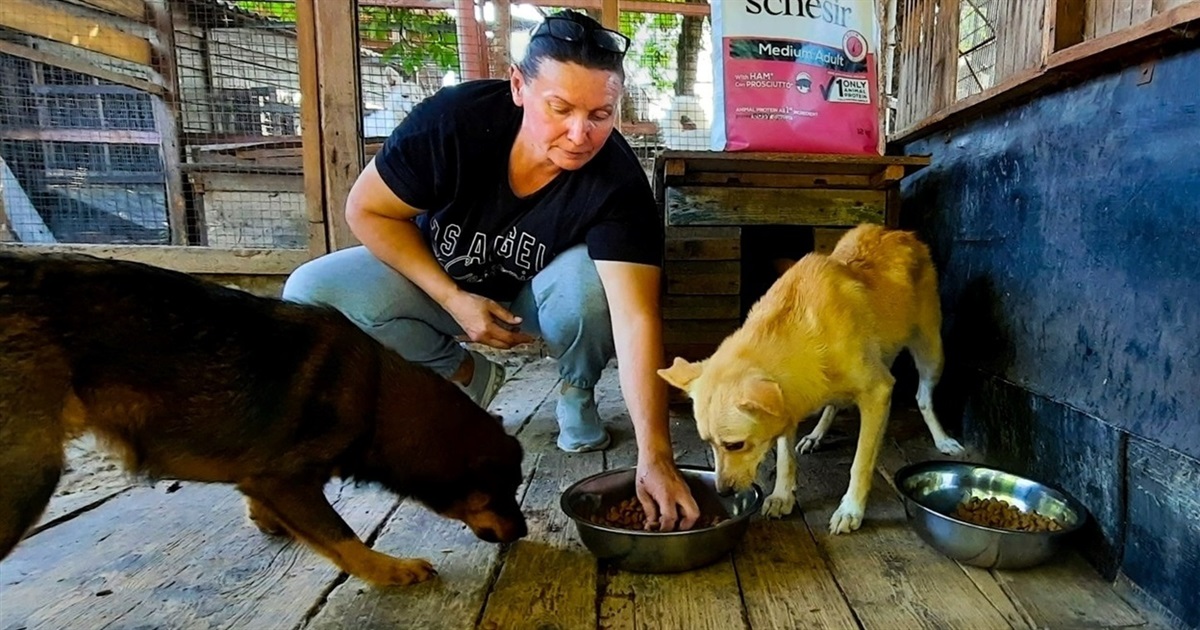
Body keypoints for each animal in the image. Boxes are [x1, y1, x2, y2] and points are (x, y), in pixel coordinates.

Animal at [1, 248, 525, 588]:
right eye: (501, 492)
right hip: (27, 475)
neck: (378, 399)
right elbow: (343, 537)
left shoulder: (263, 477)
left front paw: (265, 520)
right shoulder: (285, 479)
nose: (521, 533)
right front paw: (391, 570)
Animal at [657, 223, 964, 532]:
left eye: (735, 445)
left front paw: (850, 509)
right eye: (707, 442)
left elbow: (861, 463)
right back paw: (816, 435)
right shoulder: (788, 403)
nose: (723, 492)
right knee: (834, 403)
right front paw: (782, 495)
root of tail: (898, 232)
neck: (804, 329)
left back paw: (943, 439)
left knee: (923, 397)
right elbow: (785, 458)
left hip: (931, 352)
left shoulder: (879, 391)